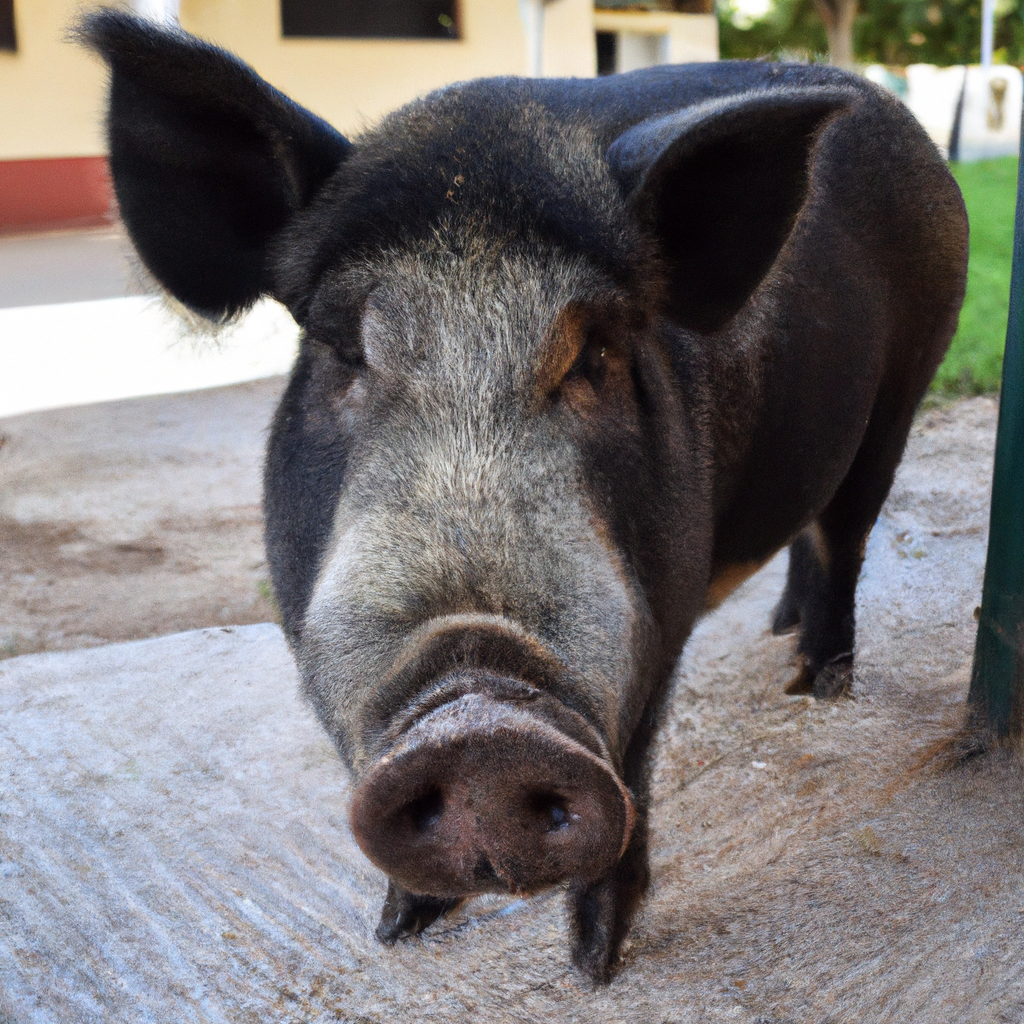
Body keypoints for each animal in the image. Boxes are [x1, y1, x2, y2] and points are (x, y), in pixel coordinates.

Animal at [81, 8, 966, 983]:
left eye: (597, 356)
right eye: (344, 351)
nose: (481, 725)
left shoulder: (656, 620)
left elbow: (635, 767)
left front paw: (592, 967)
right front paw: (397, 932)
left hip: (907, 387)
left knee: (847, 536)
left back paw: (816, 688)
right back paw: (779, 636)